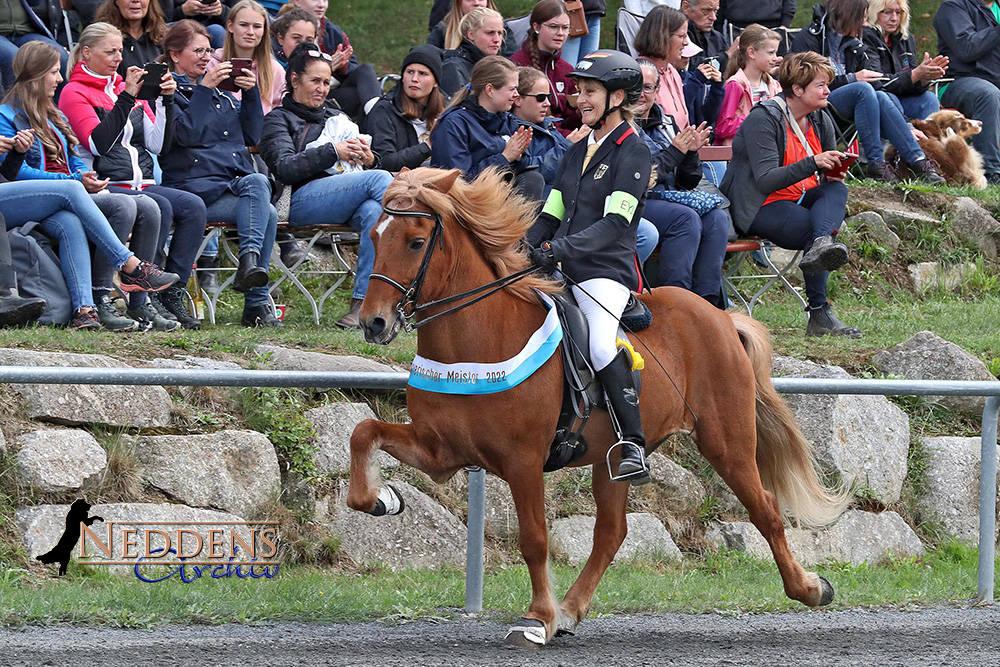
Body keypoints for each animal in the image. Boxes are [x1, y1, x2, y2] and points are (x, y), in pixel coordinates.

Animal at [348, 167, 848, 648]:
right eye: (373, 234)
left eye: (415, 242)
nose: (373, 322)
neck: (478, 340)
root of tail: (723, 317)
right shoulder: (441, 452)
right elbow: (363, 433)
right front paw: (383, 498)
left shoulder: (522, 461)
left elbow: (534, 539)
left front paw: (536, 620)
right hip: (615, 459)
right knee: (612, 531)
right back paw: (570, 611)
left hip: (727, 443)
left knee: (765, 508)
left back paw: (810, 588)